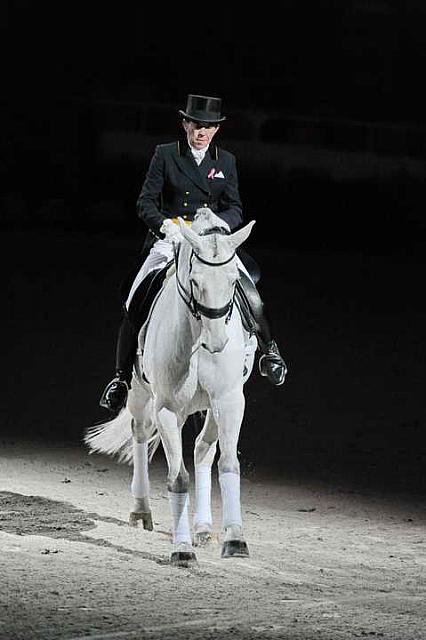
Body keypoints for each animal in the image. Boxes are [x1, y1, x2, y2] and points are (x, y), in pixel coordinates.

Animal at [85, 210, 255, 564]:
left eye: (234, 281)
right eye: (195, 282)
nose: (216, 343)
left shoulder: (229, 400)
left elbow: (228, 463)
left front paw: (235, 540)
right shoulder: (167, 408)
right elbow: (178, 477)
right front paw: (182, 549)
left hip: (212, 407)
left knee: (204, 448)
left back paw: (203, 527)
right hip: (139, 394)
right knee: (139, 433)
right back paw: (142, 512)